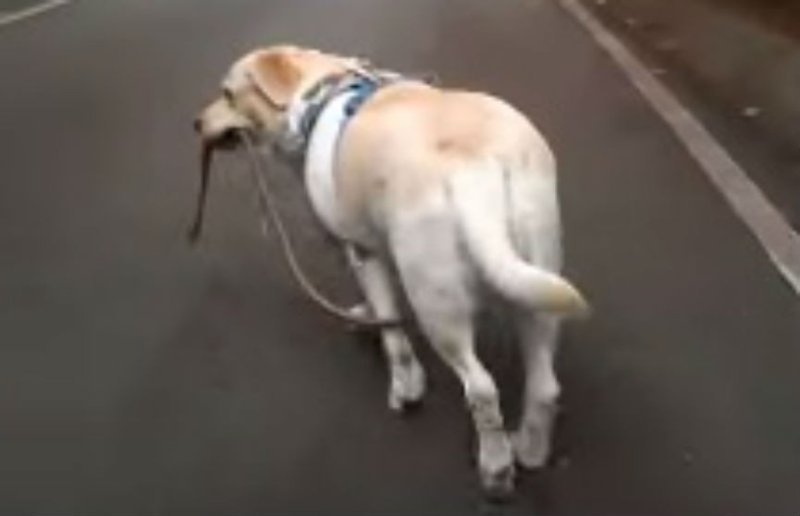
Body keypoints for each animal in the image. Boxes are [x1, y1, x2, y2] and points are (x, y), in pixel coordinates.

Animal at [194, 45, 588, 498]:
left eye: (227, 94)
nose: (195, 123)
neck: (317, 95)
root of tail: (472, 164)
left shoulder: (362, 250)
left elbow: (392, 332)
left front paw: (404, 383)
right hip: (536, 285)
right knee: (544, 386)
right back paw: (530, 448)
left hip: (438, 306)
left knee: (481, 388)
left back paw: (496, 467)